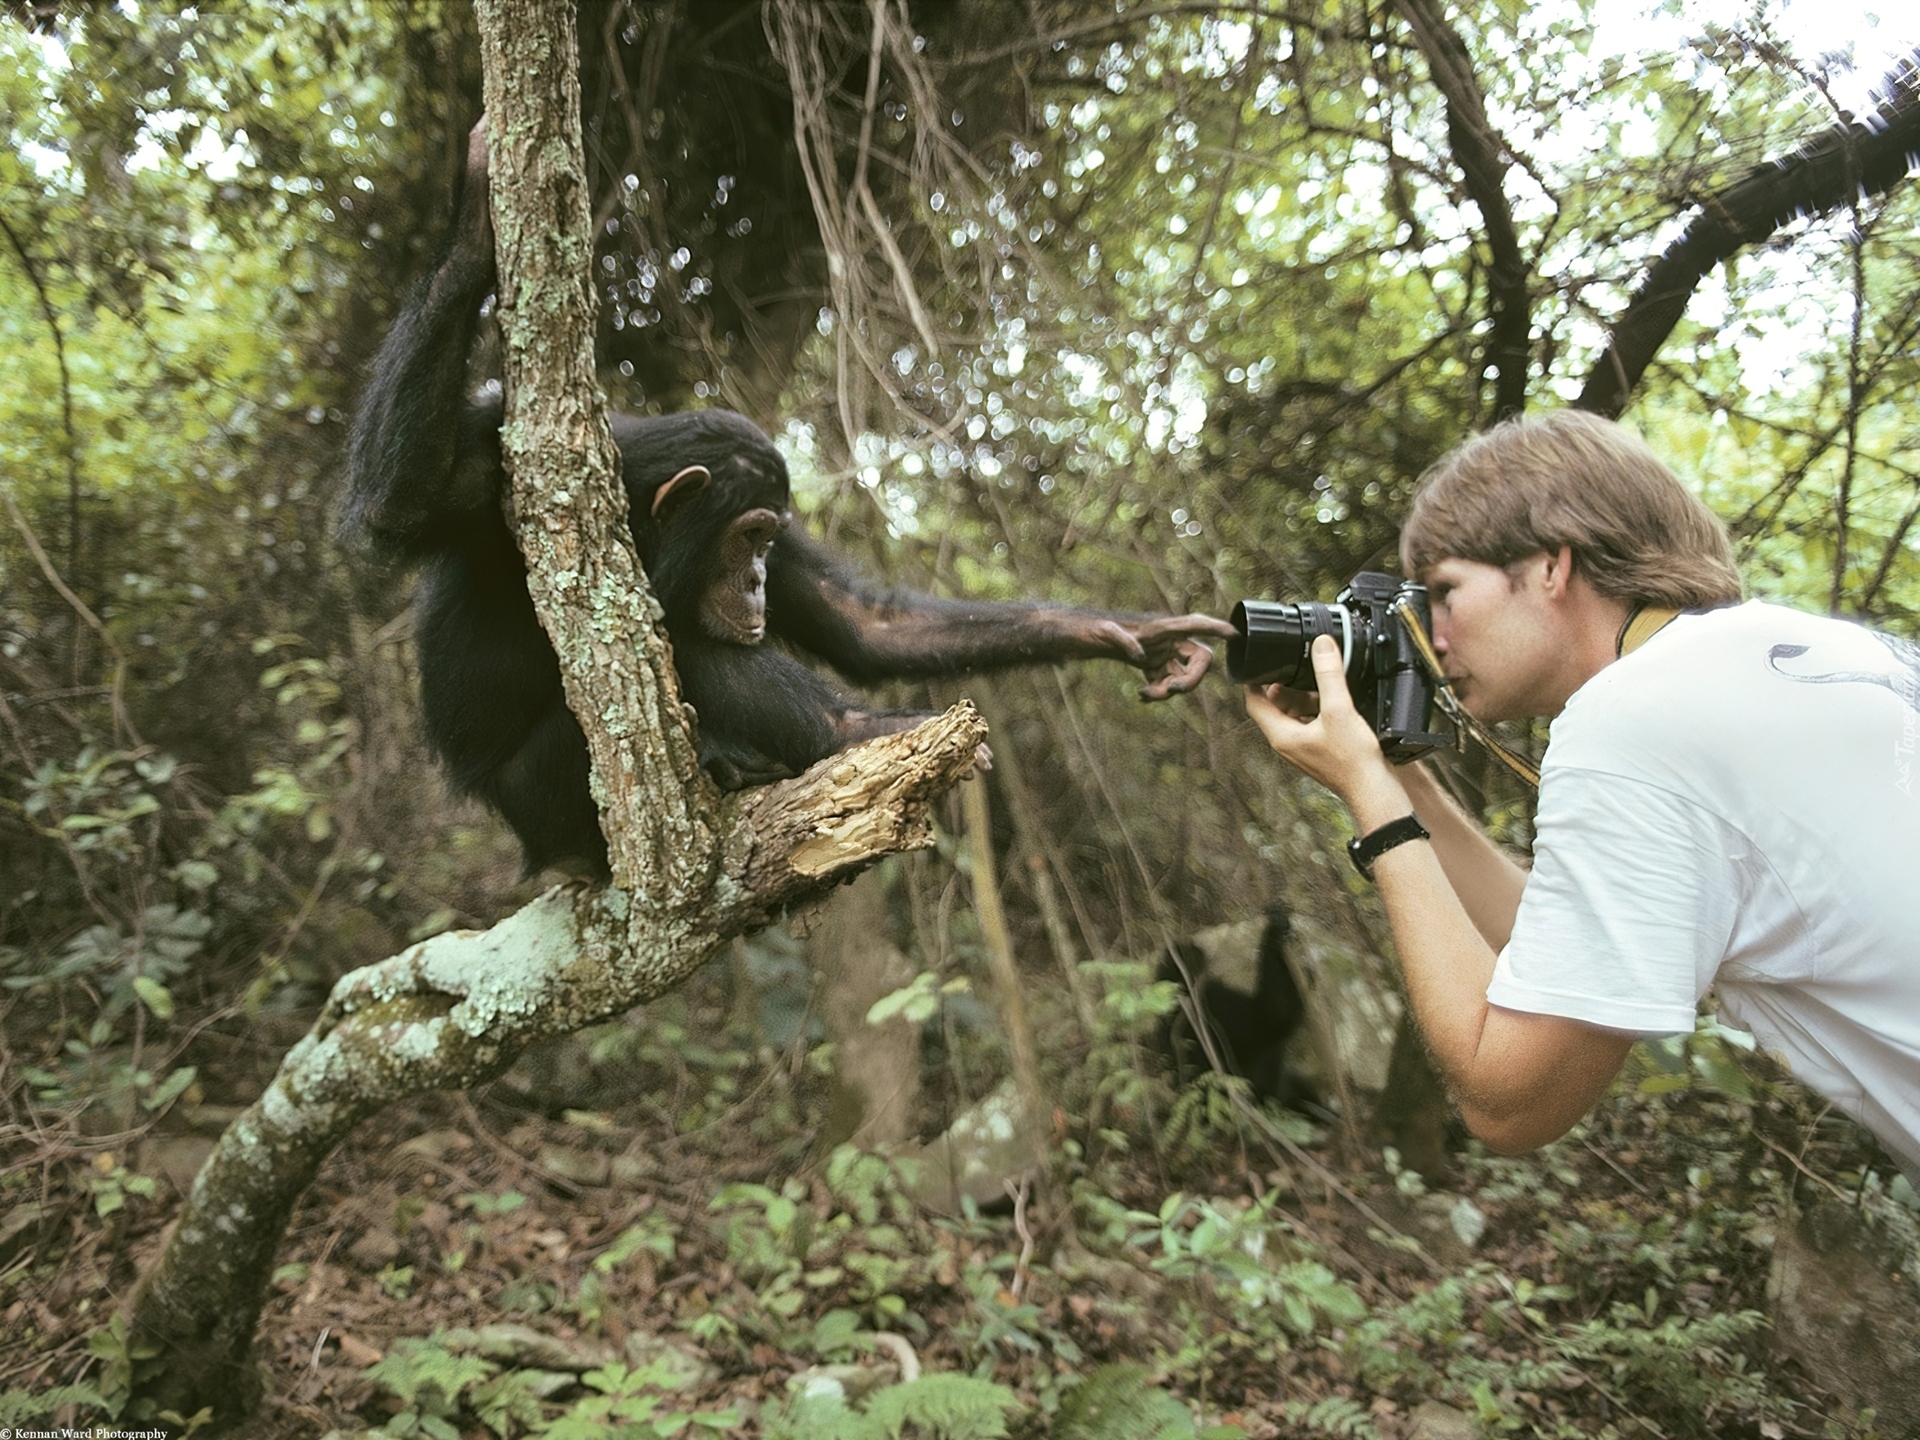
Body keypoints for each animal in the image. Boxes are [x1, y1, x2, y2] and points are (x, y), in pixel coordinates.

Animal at [343, 115, 1228, 879]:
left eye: (769, 540)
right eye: (747, 536)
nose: (759, 576)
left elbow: (867, 624)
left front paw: (1137, 633)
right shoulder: (492, 482)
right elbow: (403, 499)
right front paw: (472, 219)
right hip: (546, 803)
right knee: (682, 650)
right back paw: (857, 734)